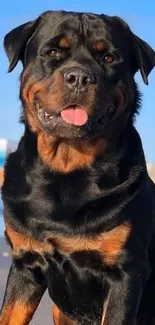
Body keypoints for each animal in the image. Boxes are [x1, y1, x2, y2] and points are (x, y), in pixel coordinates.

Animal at [0, 9, 155, 324]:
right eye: (53, 52)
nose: (80, 77)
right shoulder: (25, 262)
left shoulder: (126, 272)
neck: (66, 171)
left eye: (109, 57)